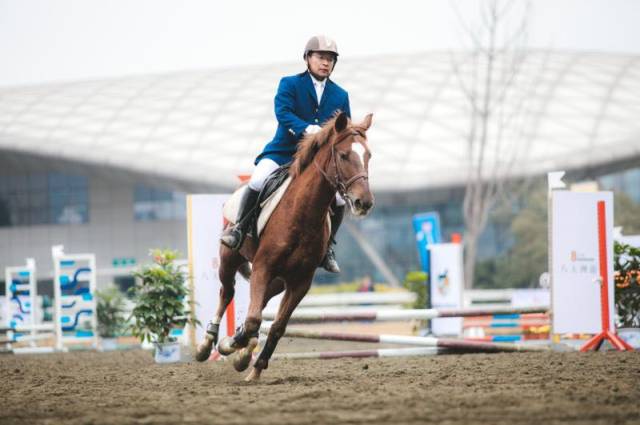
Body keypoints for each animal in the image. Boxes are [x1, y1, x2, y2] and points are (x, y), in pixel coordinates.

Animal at [195, 111, 374, 381]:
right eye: (344, 155)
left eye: (368, 156)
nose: (364, 202)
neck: (302, 214)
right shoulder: (263, 267)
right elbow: (253, 319)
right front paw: (234, 347)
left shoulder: (301, 281)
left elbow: (277, 326)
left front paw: (253, 365)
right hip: (229, 258)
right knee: (227, 292)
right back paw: (207, 344)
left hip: (279, 279)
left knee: (262, 299)